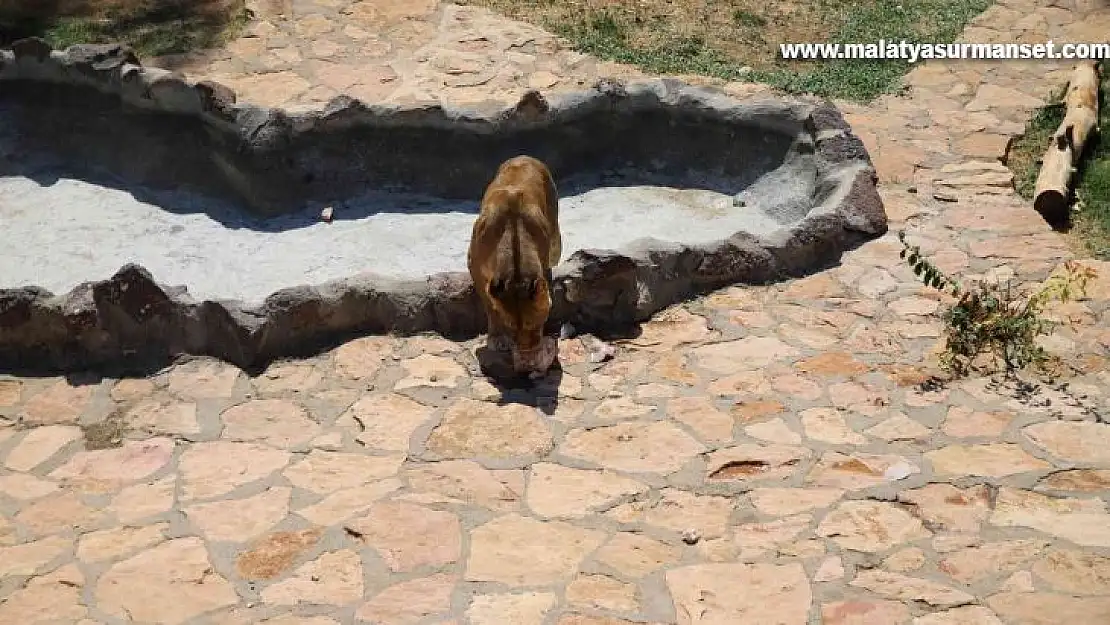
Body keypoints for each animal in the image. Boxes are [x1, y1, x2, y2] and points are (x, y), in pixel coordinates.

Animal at [466, 155, 563, 377]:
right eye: (510, 326)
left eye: (534, 324)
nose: (527, 354)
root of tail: (524, 156)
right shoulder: (474, 266)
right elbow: (490, 306)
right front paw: (497, 338)